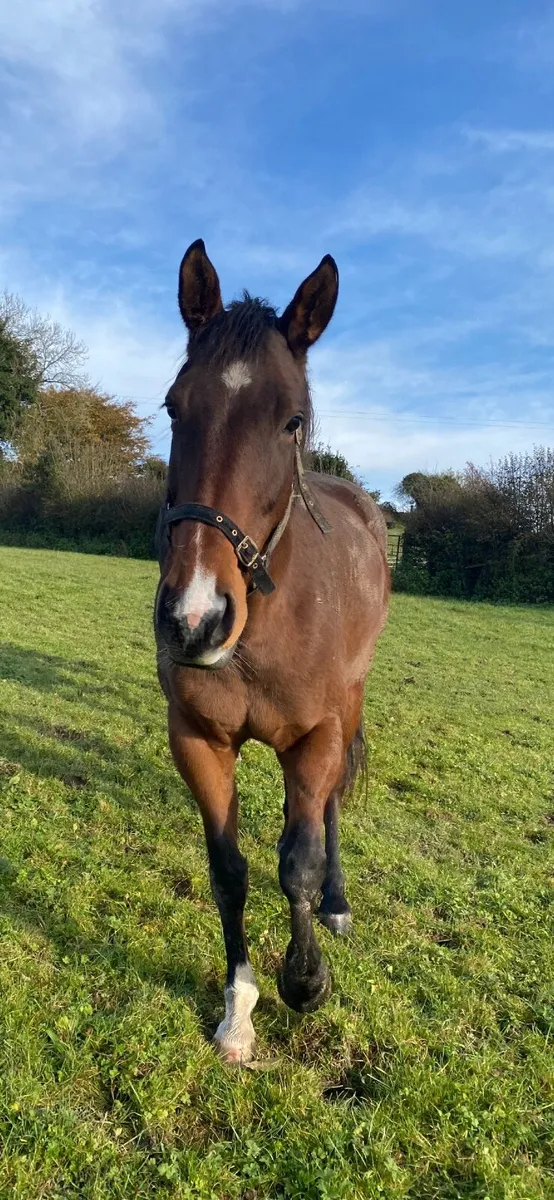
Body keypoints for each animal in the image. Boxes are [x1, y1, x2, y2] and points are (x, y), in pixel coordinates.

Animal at [154, 240, 390, 1064]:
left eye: (290, 420)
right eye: (174, 407)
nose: (194, 620)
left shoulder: (316, 734)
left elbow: (299, 862)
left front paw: (305, 980)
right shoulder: (197, 739)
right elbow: (230, 871)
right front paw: (240, 1009)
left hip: (349, 703)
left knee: (330, 807)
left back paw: (338, 903)